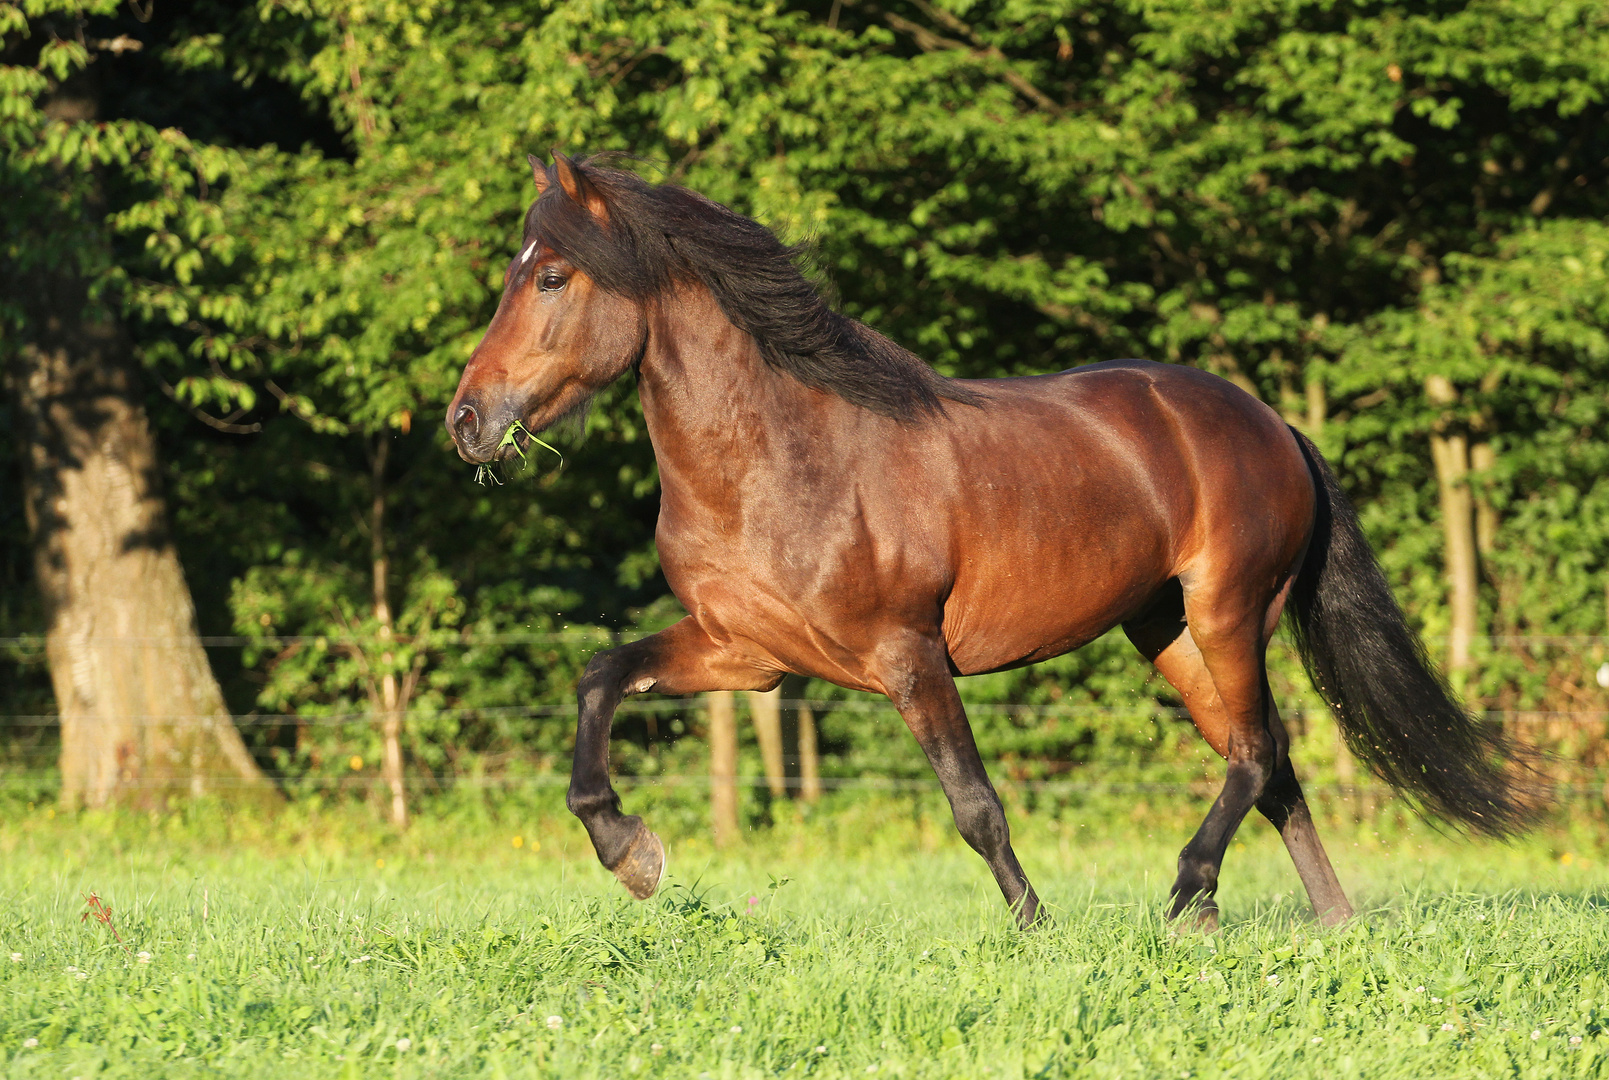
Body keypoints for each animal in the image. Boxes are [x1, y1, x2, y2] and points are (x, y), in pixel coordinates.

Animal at [447, 149, 1538, 927]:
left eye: (550, 278)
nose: (467, 420)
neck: (780, 462)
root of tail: (1271, 425)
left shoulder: (908, 656)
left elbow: (974, 804)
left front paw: (1034, 927)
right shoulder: (745, 654)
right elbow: (598, 677)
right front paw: (630, 853)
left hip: (1231, 609)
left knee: (1258, 749)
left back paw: (1189, 891)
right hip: (1165, 630)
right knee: (1264, 762)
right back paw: (1310, 920)